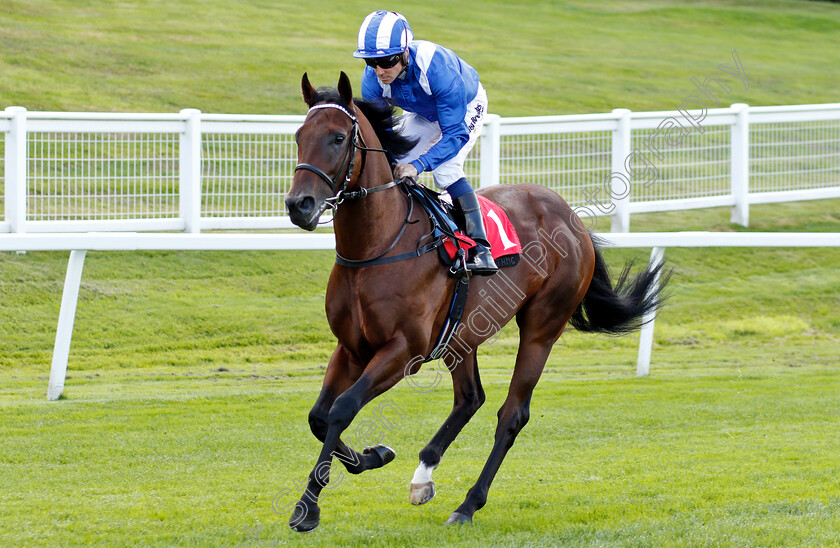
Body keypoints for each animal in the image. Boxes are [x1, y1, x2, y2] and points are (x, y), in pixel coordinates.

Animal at [284, 73, 668, 532]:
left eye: (339, 138)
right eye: (299, 136)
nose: (298, 205)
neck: (377, 246)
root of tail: (571, 216)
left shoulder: (403, 350)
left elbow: (342, 408)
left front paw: (308, 507)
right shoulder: (351, 347)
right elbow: (319, 416)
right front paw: (372, 456)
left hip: (542, 327)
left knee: (511, 414)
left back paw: (468, 504)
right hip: (463, 333)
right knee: (470, 398)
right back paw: (423, 477)